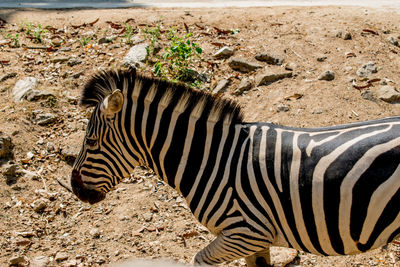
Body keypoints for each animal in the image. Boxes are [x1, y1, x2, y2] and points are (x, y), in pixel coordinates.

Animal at [71, 68, 400, 267]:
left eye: (91, 142)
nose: (75, 189)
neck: (215, 159)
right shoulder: (257, 240)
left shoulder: (245, 232)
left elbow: (200, 259)